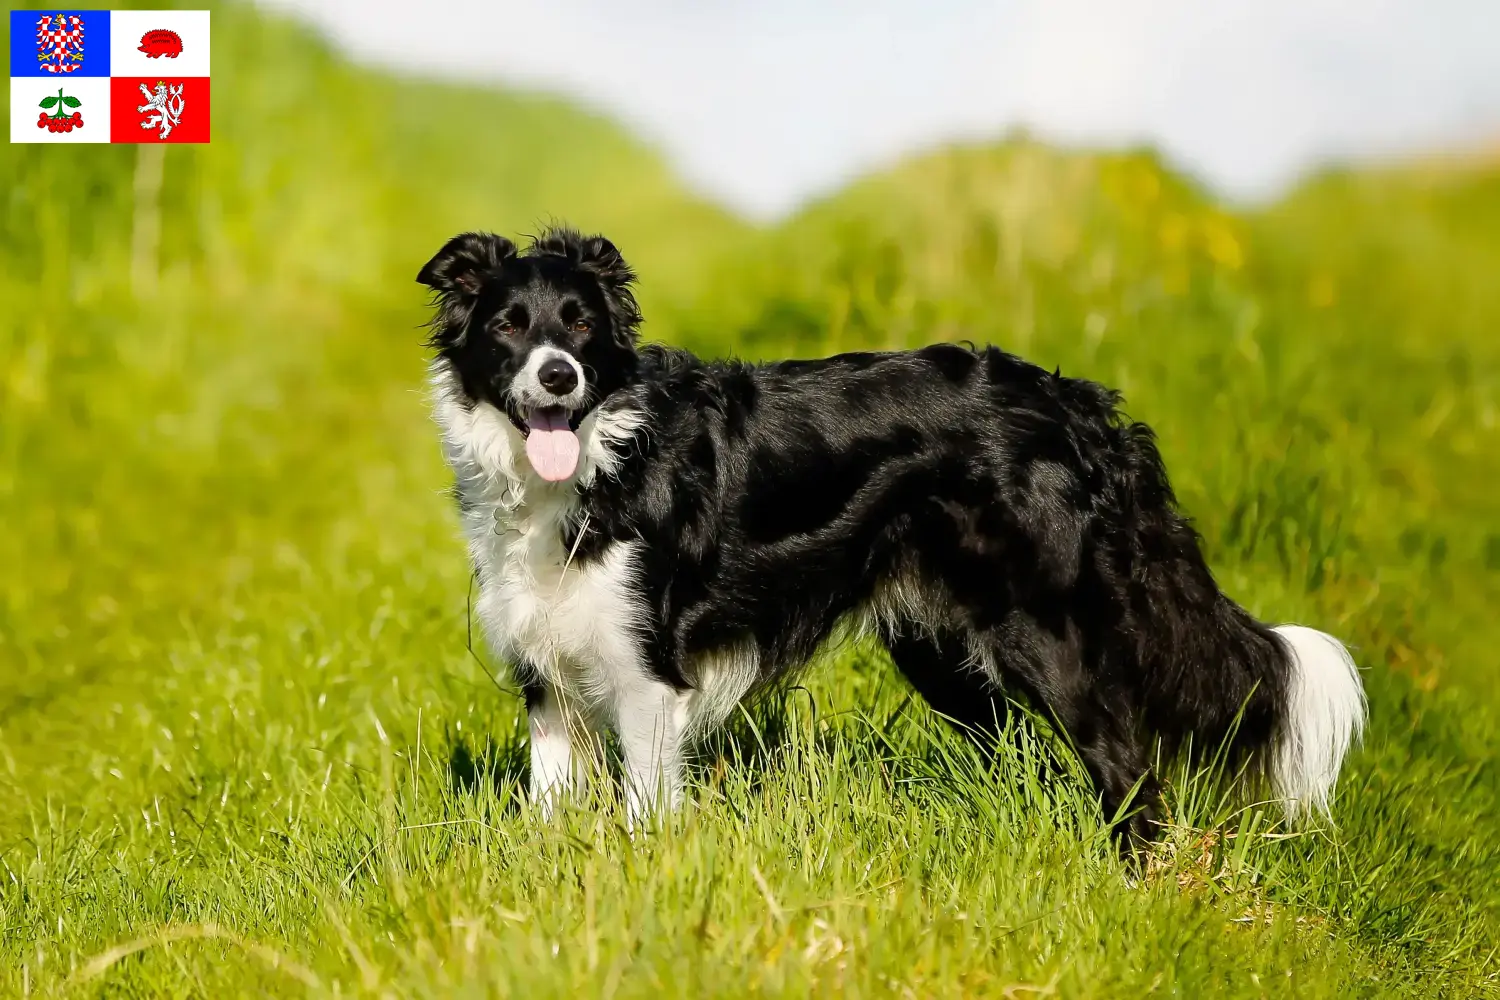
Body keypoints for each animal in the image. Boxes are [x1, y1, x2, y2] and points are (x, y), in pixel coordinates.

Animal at [417, 226, 1368, 845]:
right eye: (508, 326)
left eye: (580, 324)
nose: (559, 377)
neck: (589, 460)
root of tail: (1076, 404)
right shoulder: (545, 674)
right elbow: (547, 802)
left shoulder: (648, 673)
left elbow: (647, 810)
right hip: (942, 651)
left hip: (1047, 636)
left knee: (1132, 774)